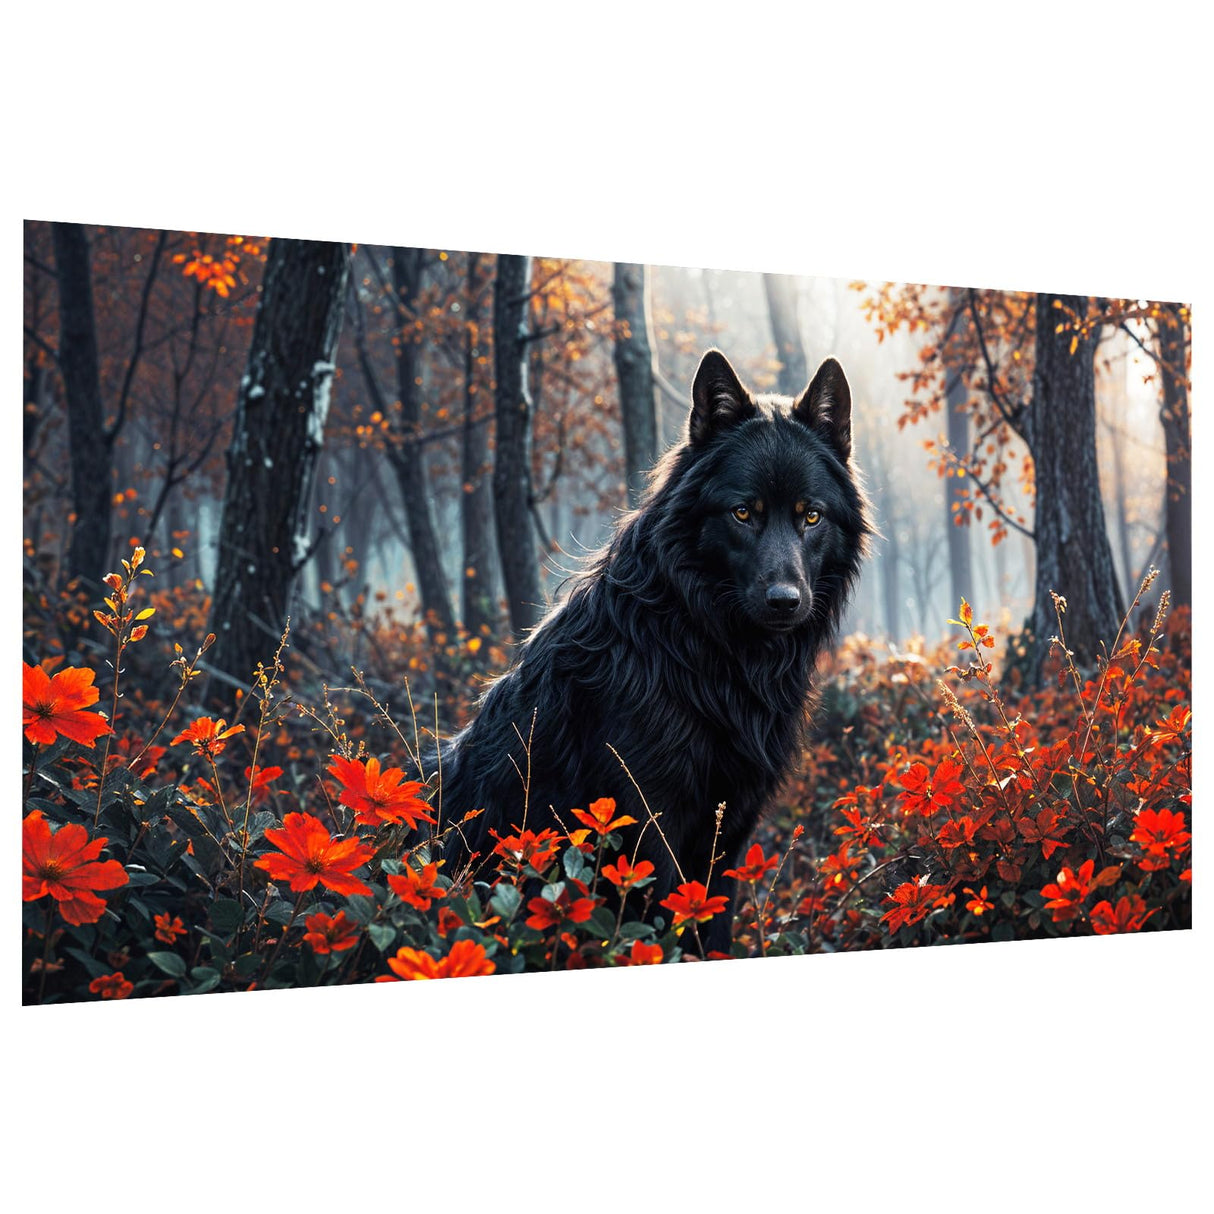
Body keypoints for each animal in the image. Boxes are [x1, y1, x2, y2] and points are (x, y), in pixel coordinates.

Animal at [432, 348, 870, 955]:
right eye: (743, 513)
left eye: (811, 515)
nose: (786, 602)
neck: (704, 649)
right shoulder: (648, 824)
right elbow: (664, 928)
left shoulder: (730, 831)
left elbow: (714, 930)